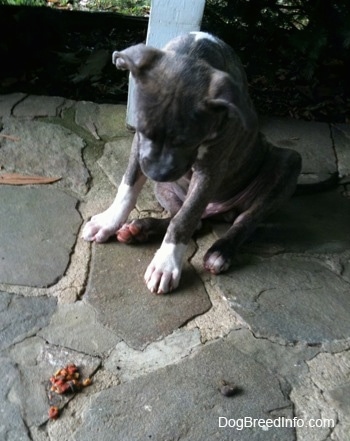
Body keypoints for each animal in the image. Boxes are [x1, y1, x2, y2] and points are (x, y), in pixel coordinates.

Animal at [82, 31, 300, 292]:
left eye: (186, 142)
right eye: (144, 131)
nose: (156, 173)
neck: (194, 51)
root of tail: (218, 211)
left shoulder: (211, 169)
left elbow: (184, 218)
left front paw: (165, 264)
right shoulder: (139, 146)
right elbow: (128, 186)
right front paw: (108, 221)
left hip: (288, 162)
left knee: (243, 220)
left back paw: (220, 252)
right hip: (164, 189)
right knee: (195, 222)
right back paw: (139, 229)